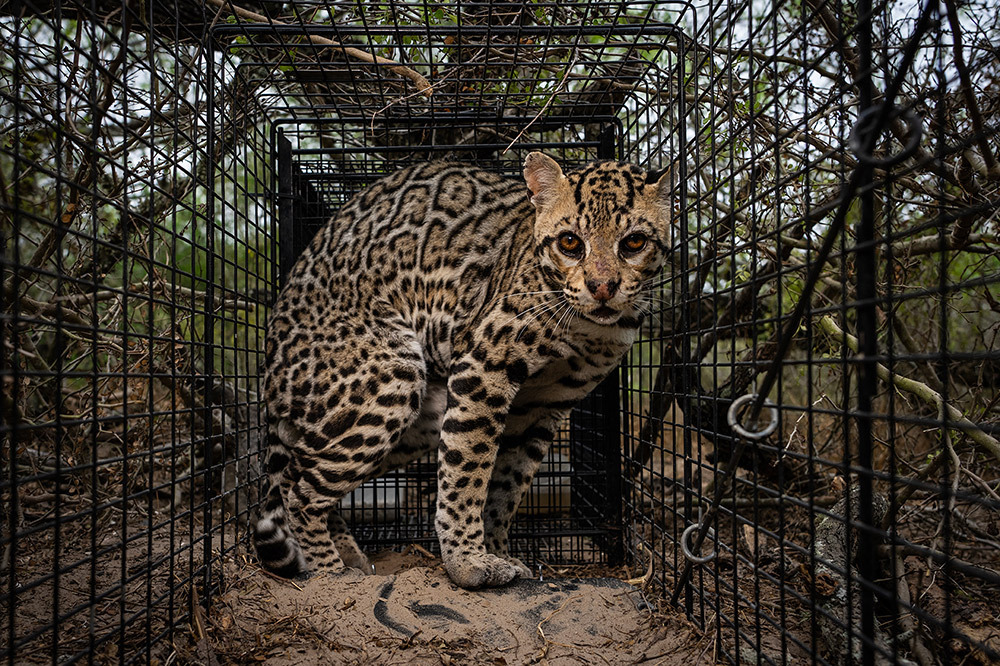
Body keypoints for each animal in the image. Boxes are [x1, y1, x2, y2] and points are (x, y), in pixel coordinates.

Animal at [254, 154, 676, 588]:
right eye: (570, 242)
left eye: (634, 242)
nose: (603, 287)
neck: (589, 329)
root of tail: (269, 362)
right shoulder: (485, 366)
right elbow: (468, 472)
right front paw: (468, 562)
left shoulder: (544, 406)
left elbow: (507, 488)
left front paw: (499, 552)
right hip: (391, 382)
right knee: (298, 489)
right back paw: (331, 573)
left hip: (417, 421)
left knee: (302, 469)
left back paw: (350, 555)